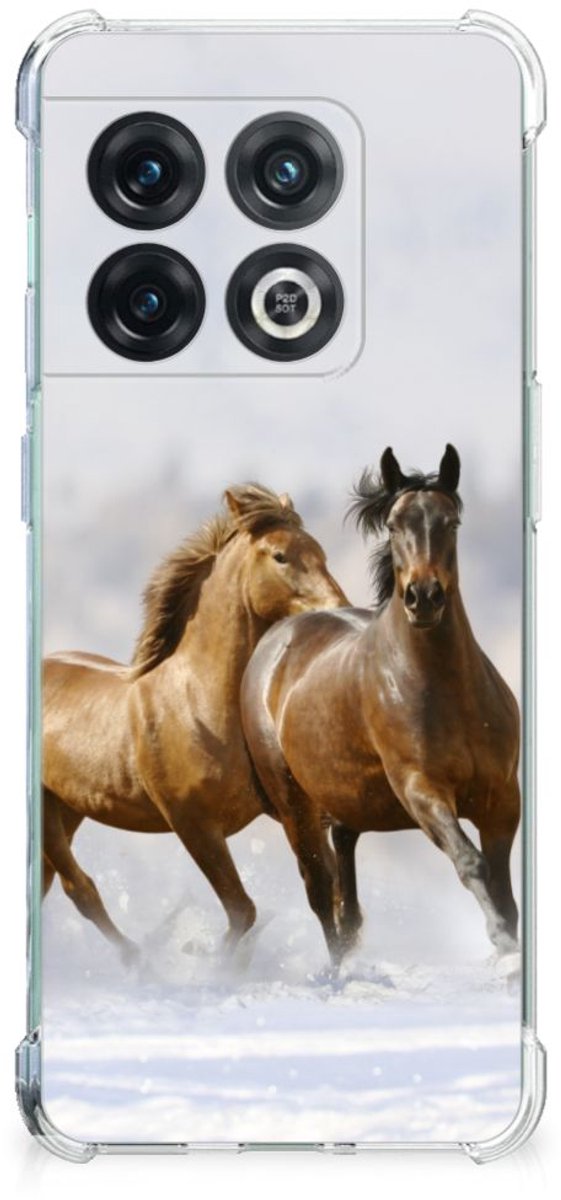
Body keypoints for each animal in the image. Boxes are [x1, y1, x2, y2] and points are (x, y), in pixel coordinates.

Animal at [42, 483, 347, 962]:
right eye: (280, 556)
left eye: (320, 552)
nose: (339, 609)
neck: (198, 705)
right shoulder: (193, 824)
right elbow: (243, 911)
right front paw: (206, 959)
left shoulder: (291, 811)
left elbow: (324, 890)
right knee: (81, 890)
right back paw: (141, 962)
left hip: (68, 809)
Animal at [241, 446, 520, 967]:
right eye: (393, 525)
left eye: (451, 522)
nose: (423, 597)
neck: (447, 691)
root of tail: (274, 641)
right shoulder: (421, 790)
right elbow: (470, 862)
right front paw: (502, 943)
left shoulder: (502, 799)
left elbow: (503, 886)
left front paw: (510, 943)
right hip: (295, 807)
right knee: (320, 891)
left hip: (346, 803)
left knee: (345, 891)